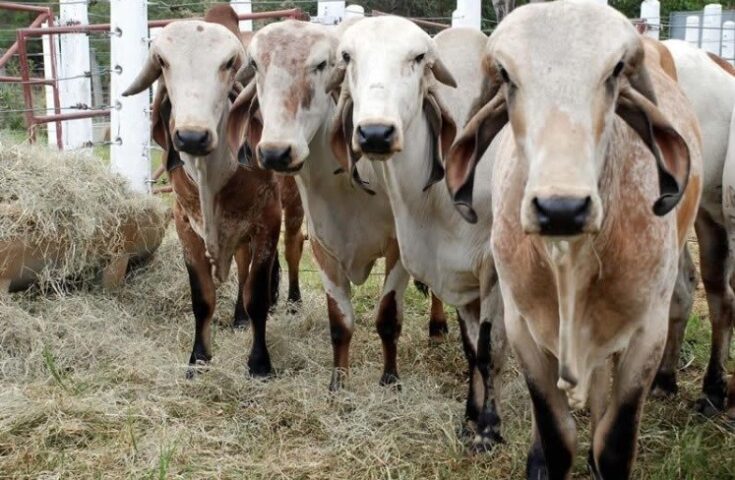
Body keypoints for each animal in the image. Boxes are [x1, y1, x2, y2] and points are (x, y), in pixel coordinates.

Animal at [446, 1, 704, 478]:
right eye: (506, 75)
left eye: (616, 70)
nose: (561, 208)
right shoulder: (522, 327)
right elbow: (556, 435)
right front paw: (542, 458)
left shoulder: (648, 333)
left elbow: (613, 444)